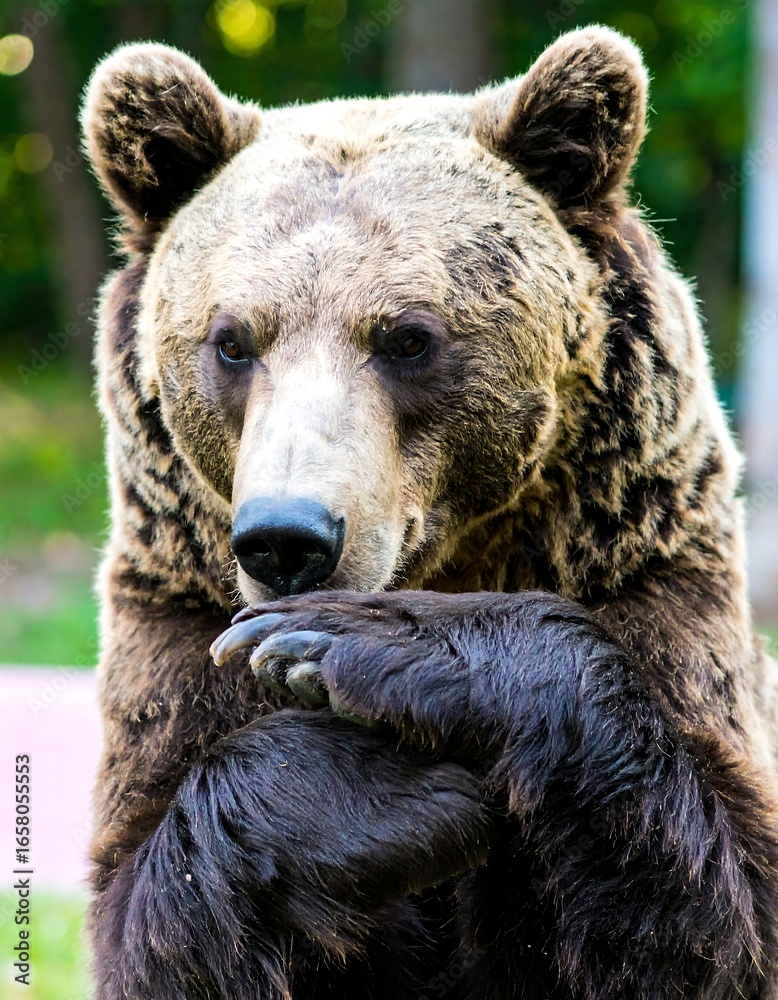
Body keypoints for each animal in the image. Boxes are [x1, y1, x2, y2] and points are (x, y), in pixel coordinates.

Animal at [81, 26, 778, 1000]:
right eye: (232, 341)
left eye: (408, 337)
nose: (288, 540)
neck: (463, 556)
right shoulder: (178, 612)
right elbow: (155, 911)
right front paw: (385, 784)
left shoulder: (651, 571)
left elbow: (710, 917)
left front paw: (361, 642)